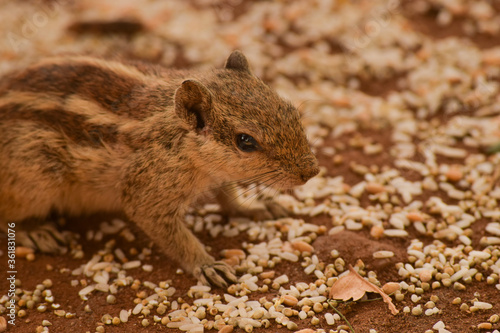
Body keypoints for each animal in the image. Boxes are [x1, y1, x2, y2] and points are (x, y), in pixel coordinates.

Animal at [0, 50, 318, 286]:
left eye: (291, 110)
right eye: (245, 141)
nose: (311, 172)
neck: (178, 139)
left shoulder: (218, 176)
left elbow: (229, 197)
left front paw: (257, 208)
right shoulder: (148, 195)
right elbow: (176, 238)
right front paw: (208, 265)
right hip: (34, 180)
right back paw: (36, 231)